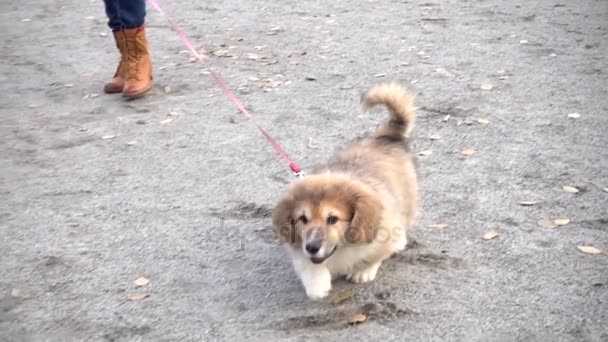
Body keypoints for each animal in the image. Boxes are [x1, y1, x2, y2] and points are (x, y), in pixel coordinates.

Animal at [274, 83, 420, 300]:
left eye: (332, 219)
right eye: (302, 219)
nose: (312, 247)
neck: (341, 248)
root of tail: (385, 137)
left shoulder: (383, 234)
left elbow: (374, 256)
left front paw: (362, 272)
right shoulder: (300, 250)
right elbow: (309, 266)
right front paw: (318, 285)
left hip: (407, 197)